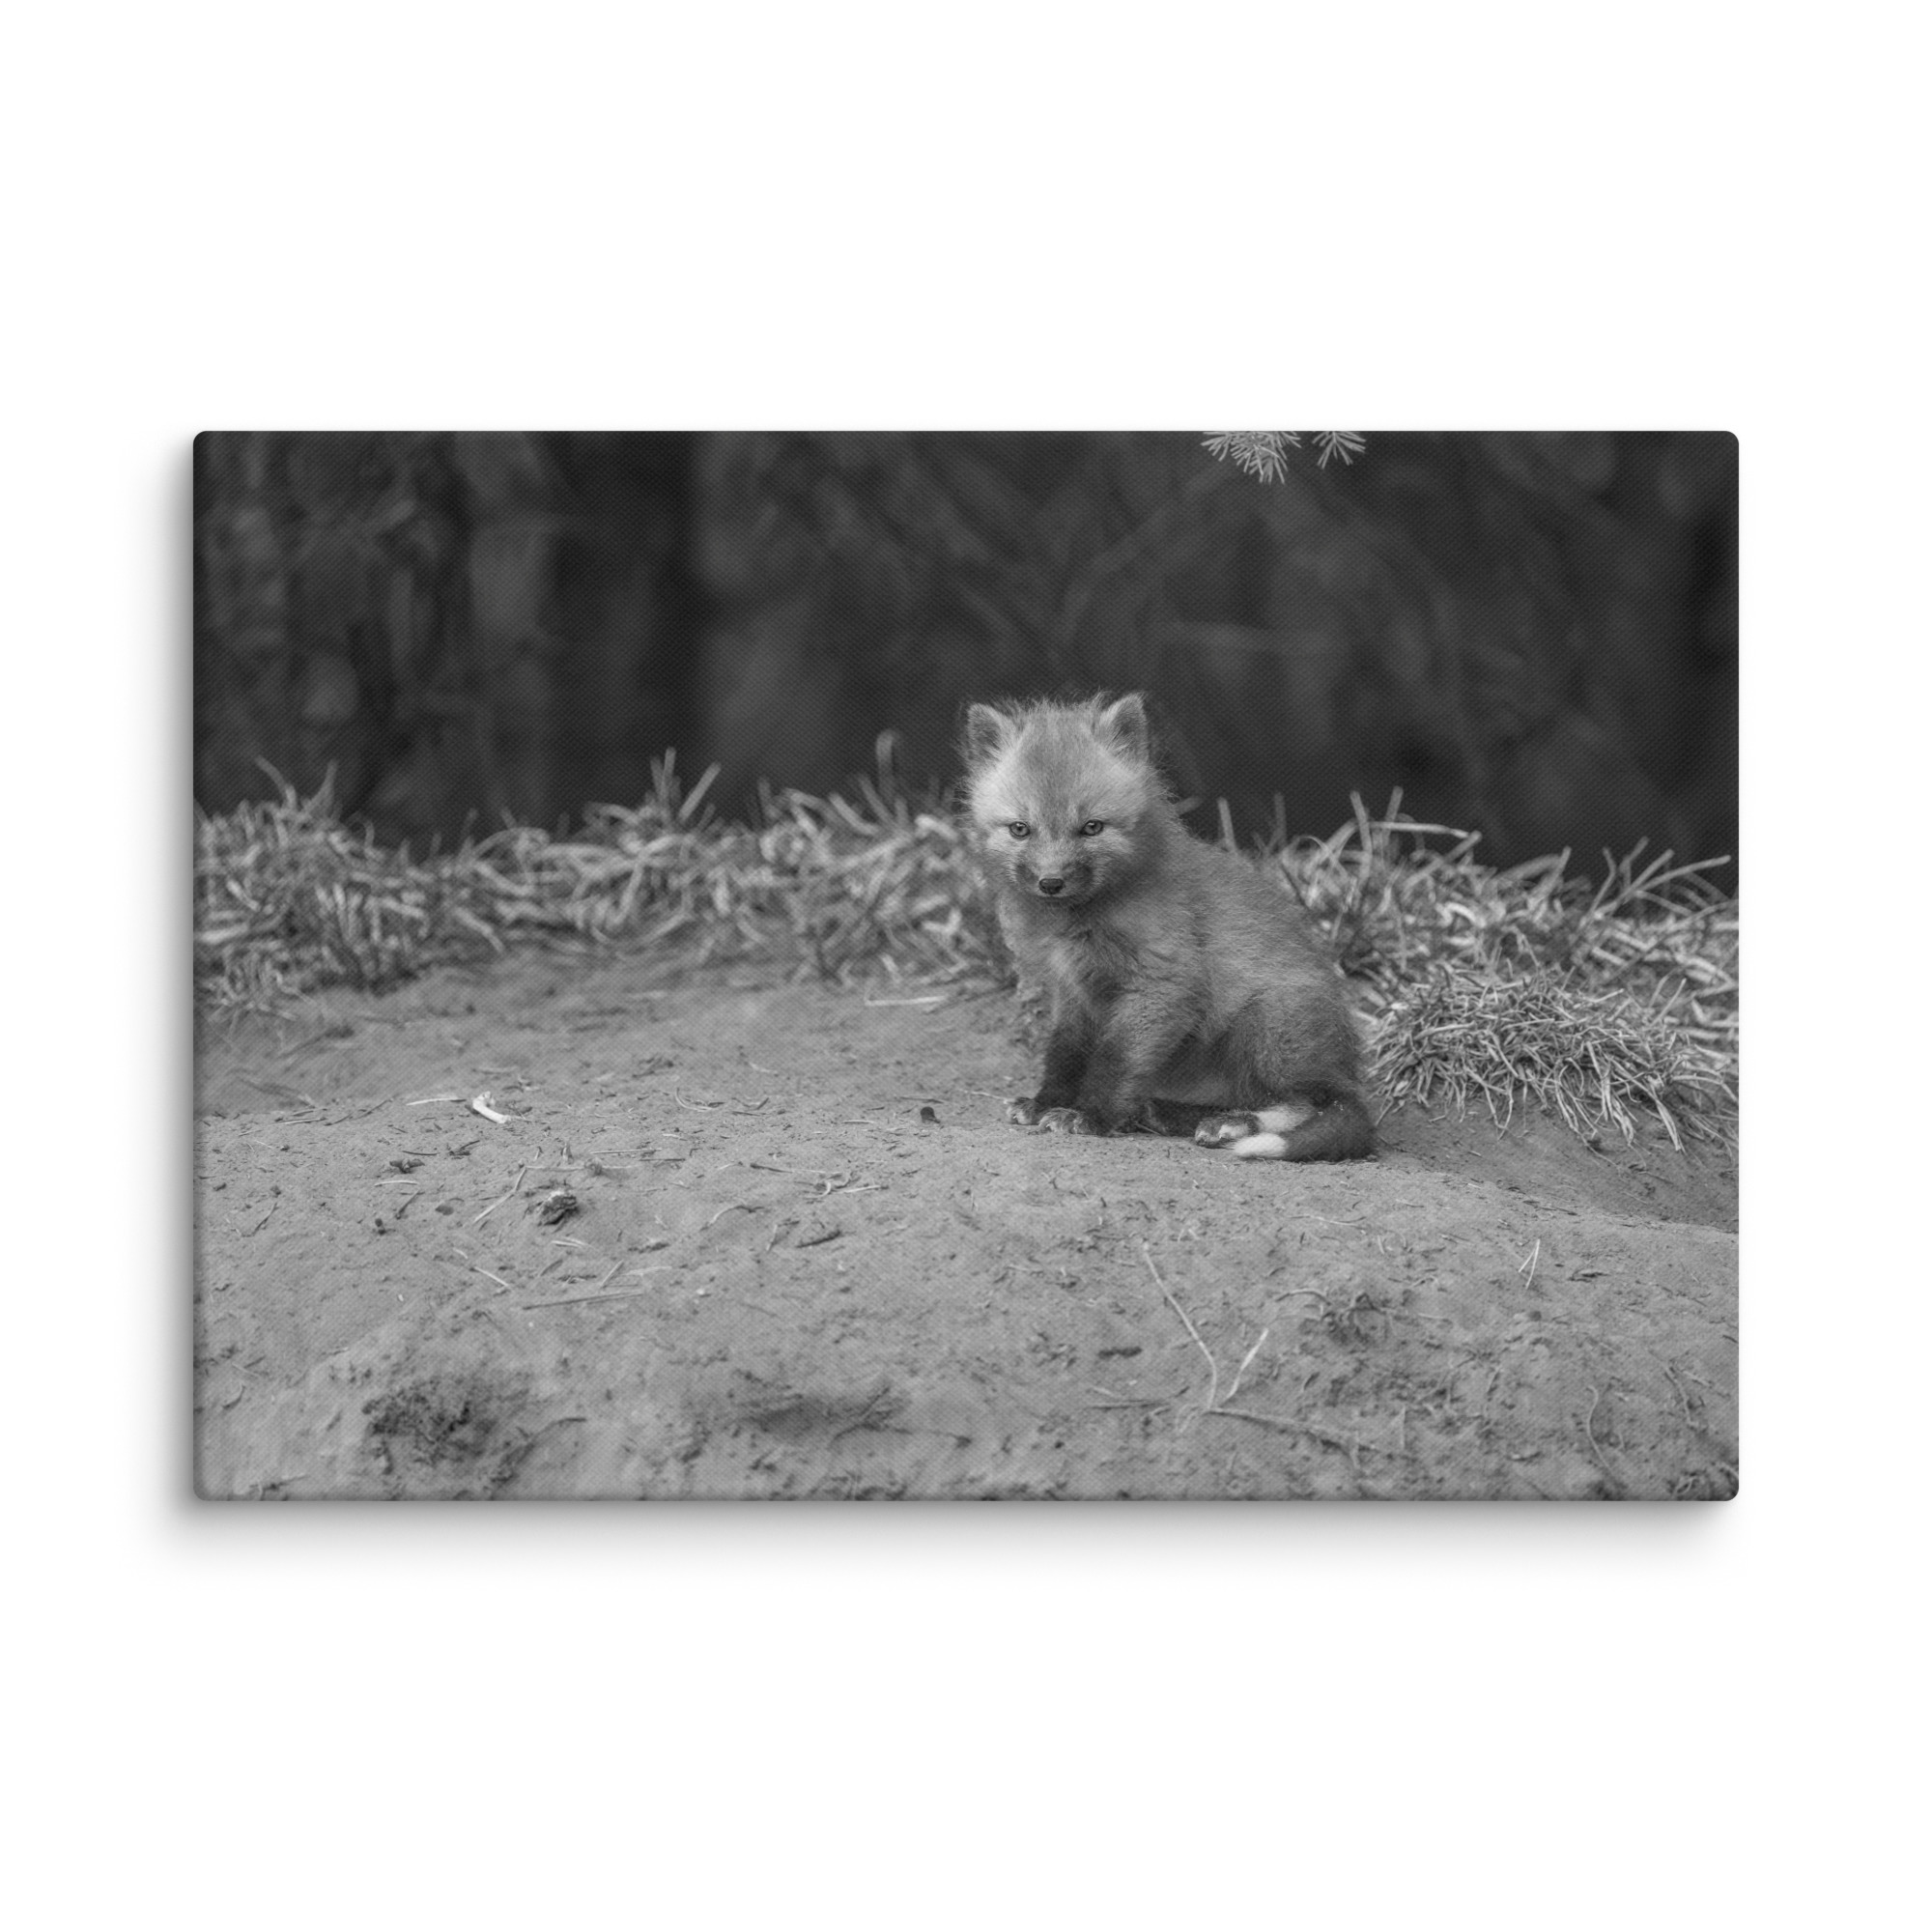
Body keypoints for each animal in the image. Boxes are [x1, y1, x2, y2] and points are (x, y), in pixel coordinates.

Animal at [963, 691, 1374, 1162]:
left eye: (1091, 827)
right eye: (1020, 829)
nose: (1051, 882)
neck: (1083, 923)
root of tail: (1345, 1065)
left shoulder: (1162, 983)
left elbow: (1116, 1059)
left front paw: (1091, 1115)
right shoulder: (1073, 991)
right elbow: (1065, 1053)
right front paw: (1047, 1101)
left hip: (1267, 1026)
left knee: (1318, 1103)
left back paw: (1233, 1125)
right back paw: (1167, 1113)